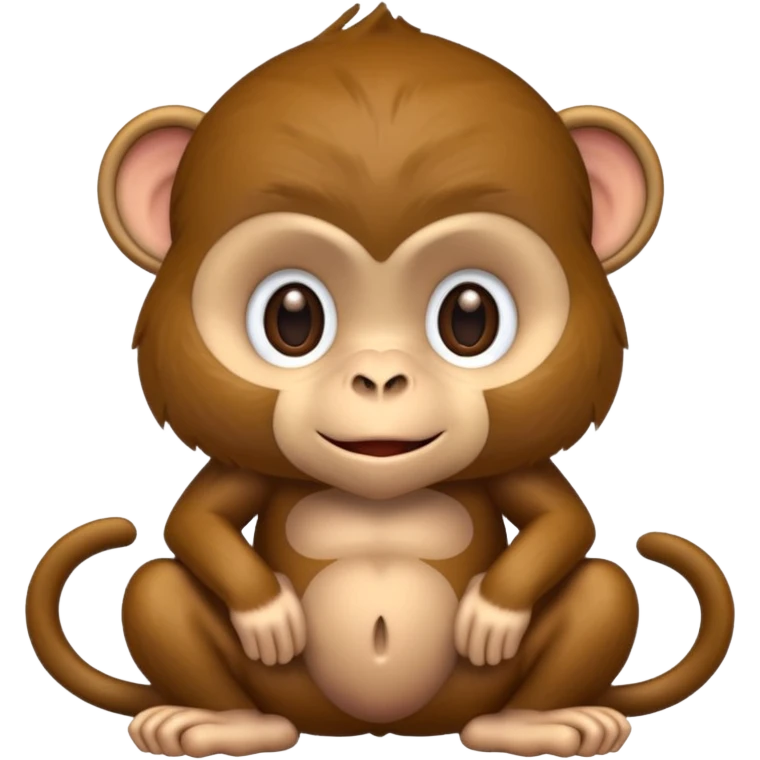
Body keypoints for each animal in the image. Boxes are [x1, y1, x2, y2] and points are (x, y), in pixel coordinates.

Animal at [25, 3, 735, 759]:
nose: (381, 377)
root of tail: (379, 727)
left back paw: (536, 723)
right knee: (157, 586)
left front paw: (493, 614)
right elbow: (195, 521)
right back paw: (222, 723)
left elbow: (564, 521)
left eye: (470, 317)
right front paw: (267, 614)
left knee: (603, 586)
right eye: (292, 317)